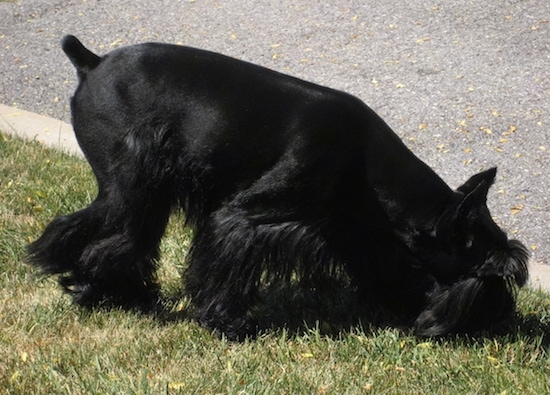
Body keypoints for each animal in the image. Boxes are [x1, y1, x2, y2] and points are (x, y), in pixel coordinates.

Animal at [28, 35, 532, 340]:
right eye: (497, 271)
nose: (503, 318)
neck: (364, 163)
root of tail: (91, 62)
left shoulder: (357, 232)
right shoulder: (245, 217)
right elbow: (227, 262)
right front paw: (228, 324)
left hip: (142, 189)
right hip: (128, 183)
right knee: (105, 231)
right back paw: (91, 287)